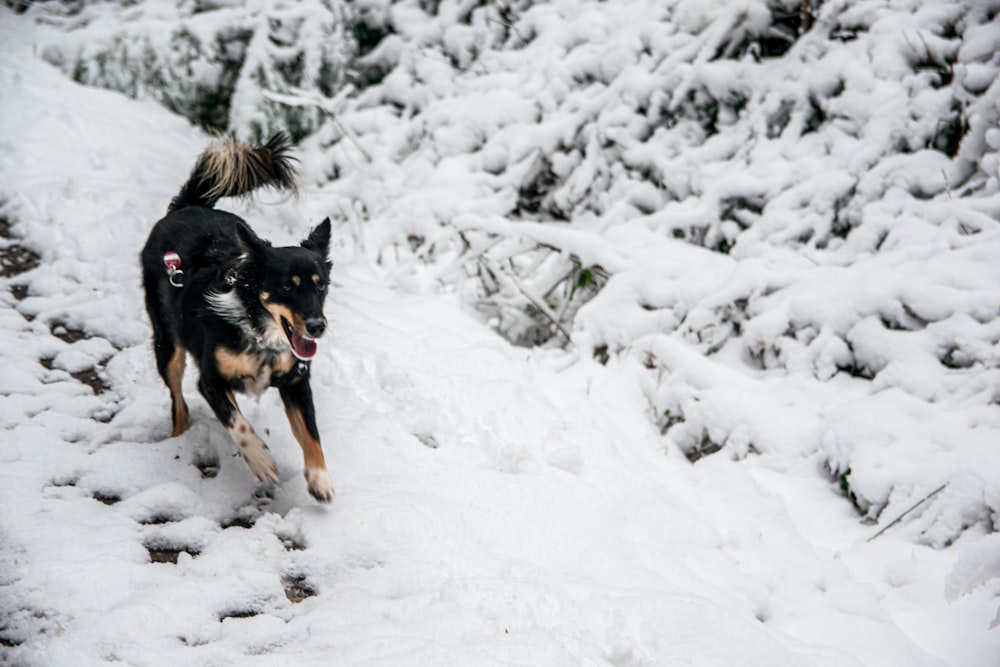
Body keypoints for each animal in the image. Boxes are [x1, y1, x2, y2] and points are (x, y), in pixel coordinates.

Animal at [142, 134, 336, 500]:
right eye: (286, 287)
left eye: (321, 286)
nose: (317, 327)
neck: (259, 334)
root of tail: (187, 207)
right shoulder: (211, 382)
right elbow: (238, 423)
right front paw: (261, 461)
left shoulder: (296, 381)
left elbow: (313, 433)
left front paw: (320, 479)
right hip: (167, 344)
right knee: (178, 402)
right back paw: (179, 437)